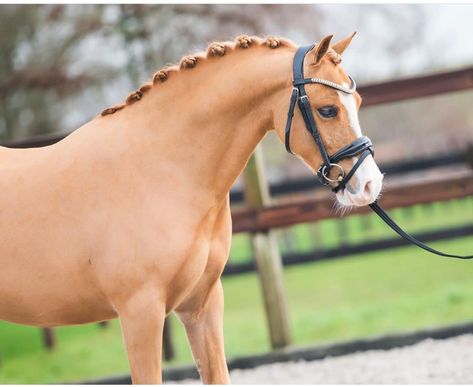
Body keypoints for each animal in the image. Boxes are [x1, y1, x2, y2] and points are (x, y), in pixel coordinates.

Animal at [0, 34, 382, 384]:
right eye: (327, 109)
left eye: (357, 101)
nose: (370, 185)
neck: (163, 167)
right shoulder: (140, 313)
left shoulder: (202, 305)